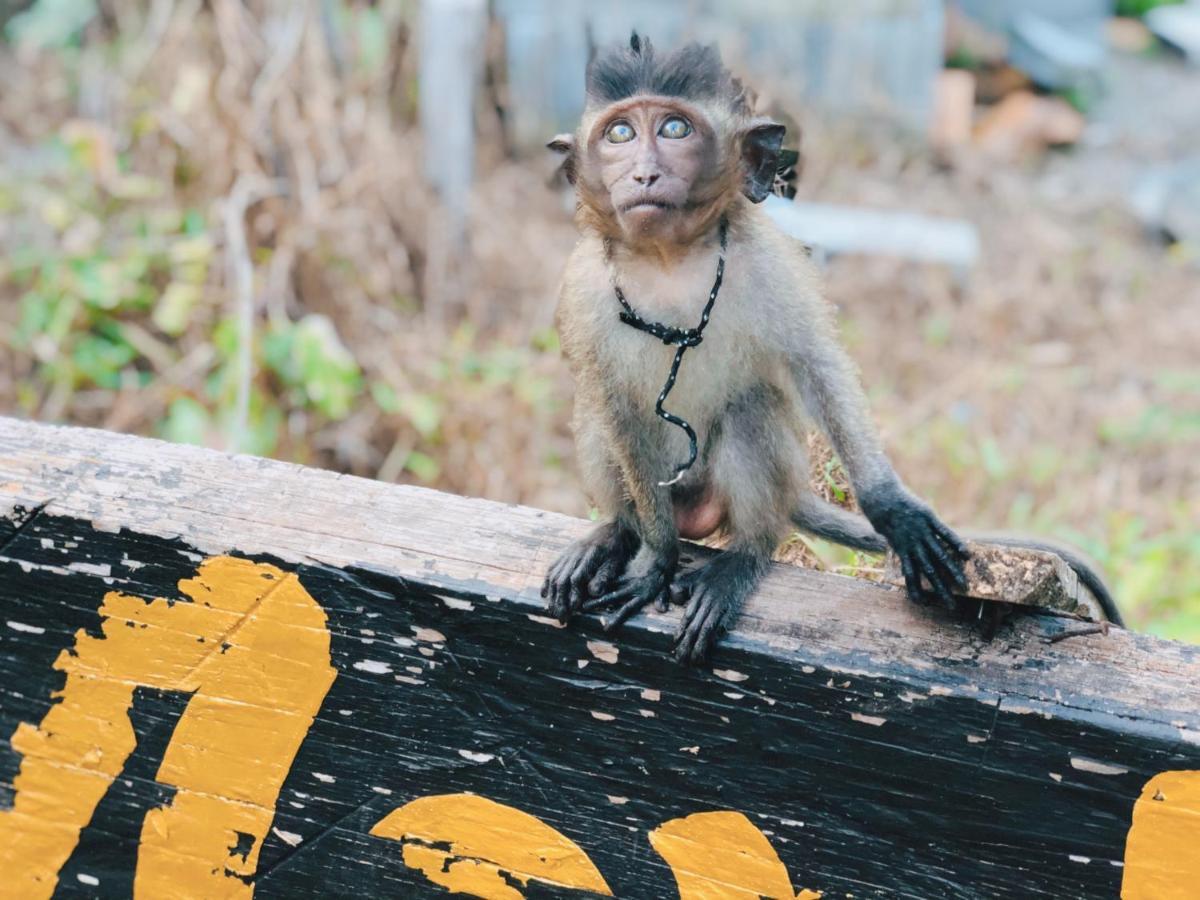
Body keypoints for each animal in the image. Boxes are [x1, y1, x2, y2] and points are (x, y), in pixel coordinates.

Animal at [540, 35, 1118, 662]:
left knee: (751, 412)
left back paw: (742, 556)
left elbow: (817, 366)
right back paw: (618, 534)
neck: (668, 260)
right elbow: (615, 407)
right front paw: (655, 559)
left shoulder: (770, 265)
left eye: (674, 129)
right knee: (598, 416)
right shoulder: (583, 290)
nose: (644, 173)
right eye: (620, 134)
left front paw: (891, 507)